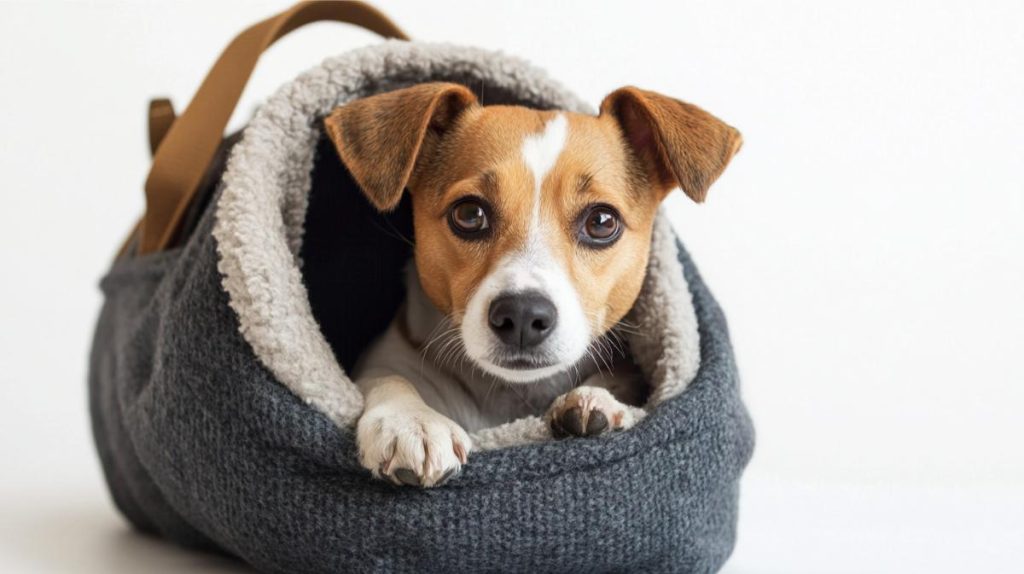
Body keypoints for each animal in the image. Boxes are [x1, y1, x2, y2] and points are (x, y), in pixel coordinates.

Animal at [323, 82, 741, 484]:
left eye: (601, 222)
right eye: (469, 213)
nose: (522, 314)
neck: (513, 393)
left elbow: (621, 378)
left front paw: (596, 399)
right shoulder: (385, 358)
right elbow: (387, 378)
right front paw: (411, 422)